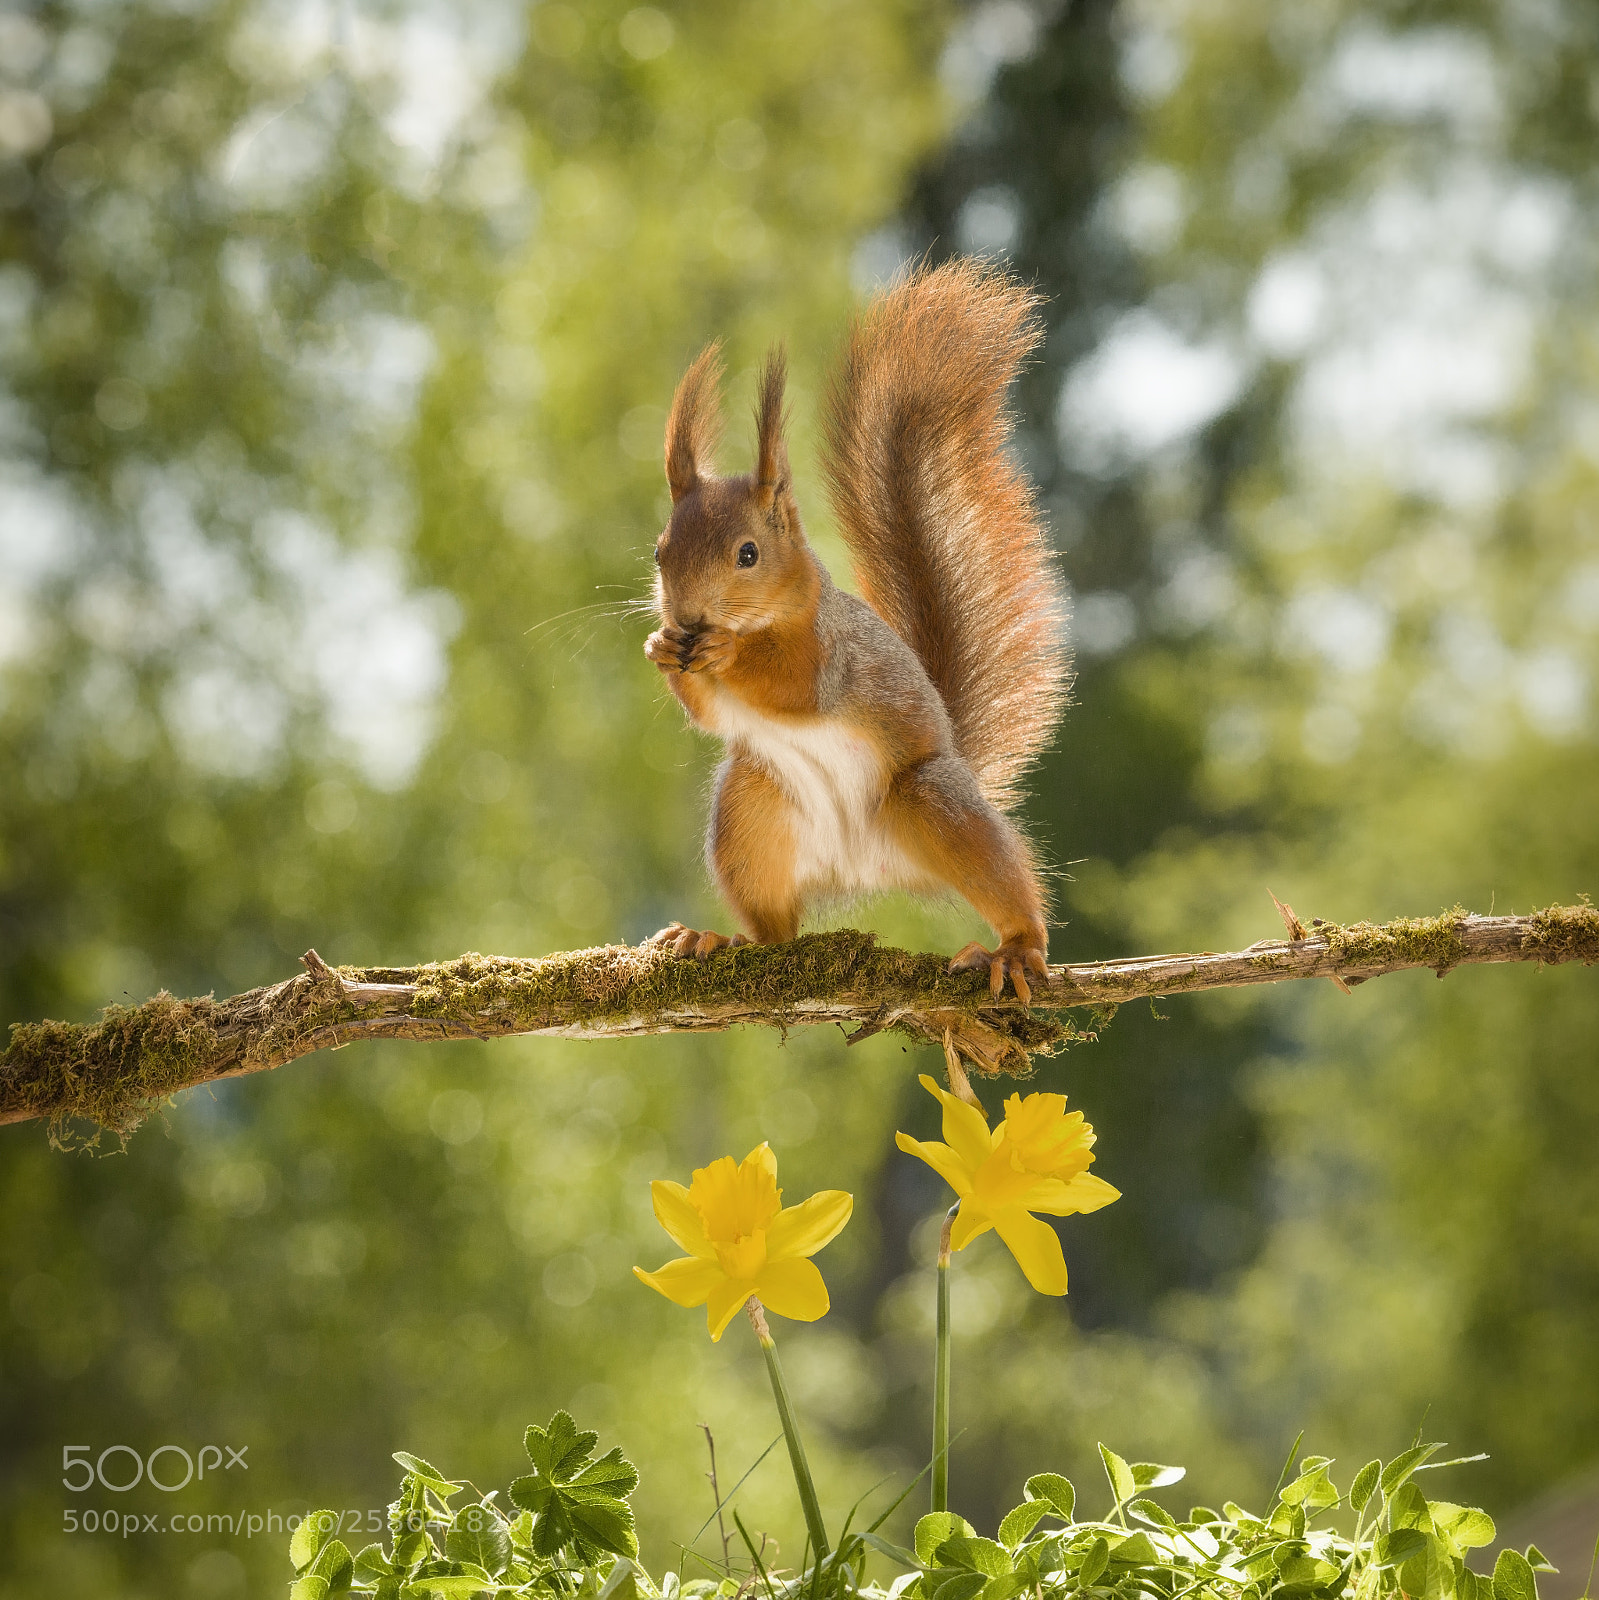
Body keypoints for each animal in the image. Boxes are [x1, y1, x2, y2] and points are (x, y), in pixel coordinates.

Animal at [642, 258, 1069, 1002]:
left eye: (747, 554)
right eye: (660, 551)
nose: (687, 619)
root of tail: (864, 867)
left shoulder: (828, 652)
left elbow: (794, 685)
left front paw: (726, 651)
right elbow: (707, 716)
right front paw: (662, 649)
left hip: (933, 802)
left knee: (1005, 885)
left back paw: (1015, 950)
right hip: (750, 813)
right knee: (776, 930)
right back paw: (716, 938)